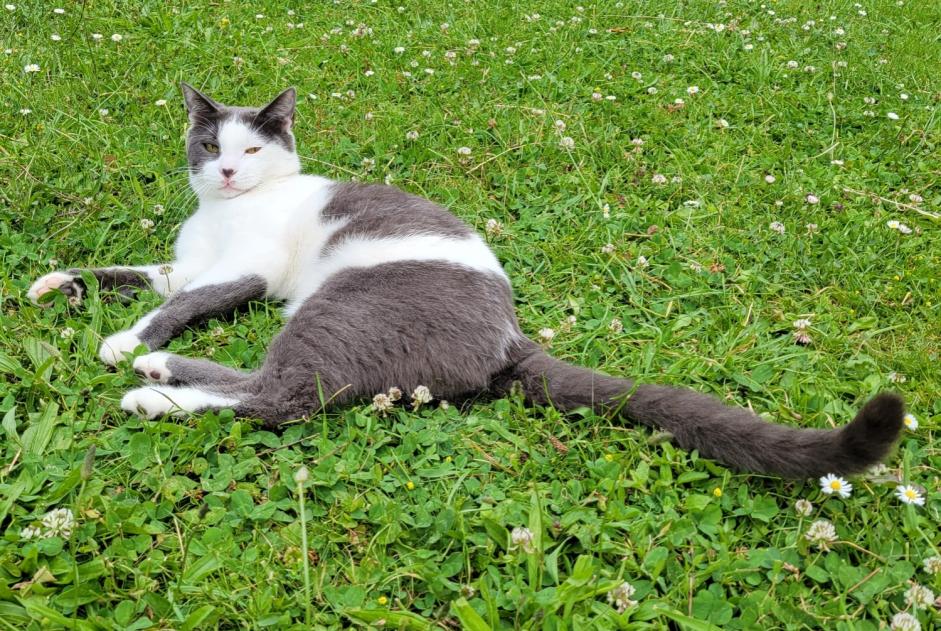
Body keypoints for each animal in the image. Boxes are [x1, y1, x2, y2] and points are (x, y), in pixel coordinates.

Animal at [27, 84, 904, 478]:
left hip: (344, 302)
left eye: (252, 147)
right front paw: (53, 285)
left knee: (284, 395)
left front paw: (122, 341)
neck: (219, 215)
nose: (230, 171)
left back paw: (152, 385)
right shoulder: (180, 260)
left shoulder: (247, 267)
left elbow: (185, 301)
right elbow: (140, 274)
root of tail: (510, 337)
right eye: (209, 145)